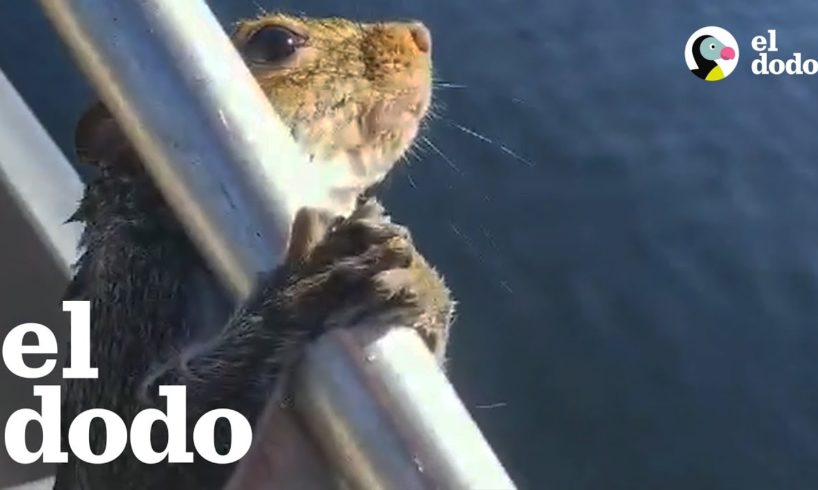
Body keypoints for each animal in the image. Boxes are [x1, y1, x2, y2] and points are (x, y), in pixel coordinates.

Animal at [53, 11, 452, 490]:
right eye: (275, 42)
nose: (420, 35)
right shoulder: (130, 303)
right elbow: (136, 455)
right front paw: (309, 283)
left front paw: (424, 286)